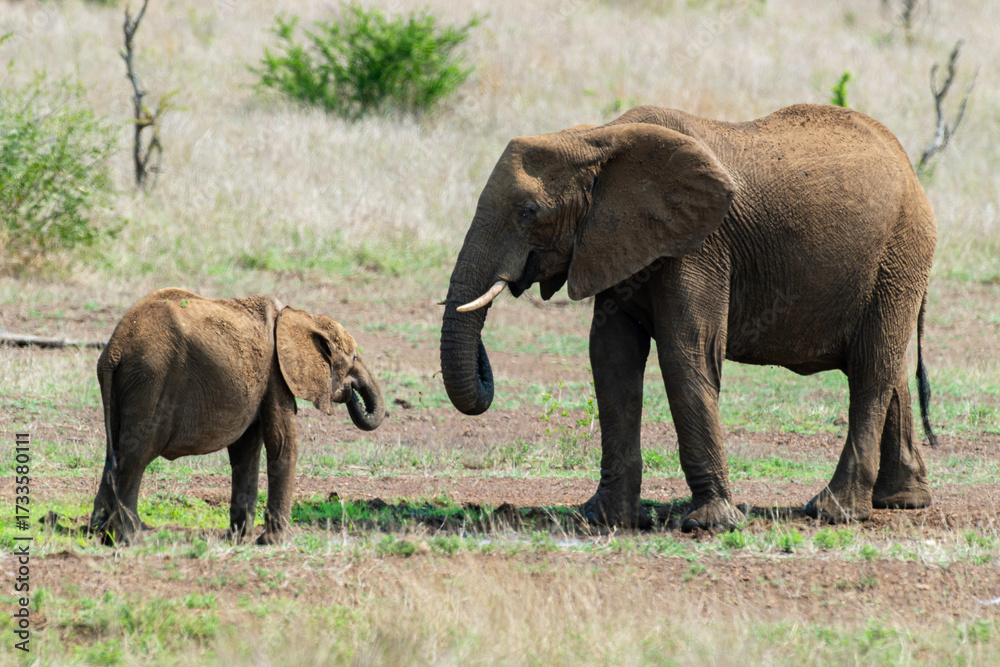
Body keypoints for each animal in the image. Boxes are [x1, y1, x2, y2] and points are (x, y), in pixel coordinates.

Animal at [90, 288, 385, 545]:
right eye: (354, 358)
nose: (353, 396)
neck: (300, 316)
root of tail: (115, 349)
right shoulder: (276, 373)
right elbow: (282, 442)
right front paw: (273, 543)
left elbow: (246, 450)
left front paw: (238, 540)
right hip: (151, 380)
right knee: (135, 456)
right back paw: (131, 540)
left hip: (126, 387)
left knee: (114, 452)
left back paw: (99, 536)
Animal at [440, 103, 938, 530]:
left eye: (529, 212)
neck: (597, 138)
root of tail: (912, 171)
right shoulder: (617, 242)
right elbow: (611, 358)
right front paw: (603, 519)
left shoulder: (700, 245)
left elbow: (687, 353)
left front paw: (709, 524)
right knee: (889, 370)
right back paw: (902, 502)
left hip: (899, 255)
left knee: (871, 371)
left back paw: (833, 511)